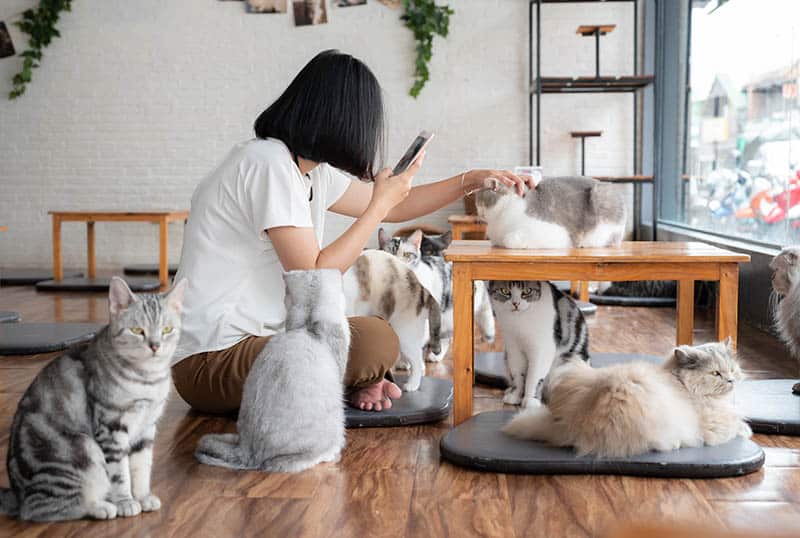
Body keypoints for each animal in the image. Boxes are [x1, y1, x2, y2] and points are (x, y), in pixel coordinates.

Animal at [0, 276, 186, 520]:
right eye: (137, 330)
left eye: (167, 329)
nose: (155, 345)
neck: (148, 379)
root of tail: (16, 495)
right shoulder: (112, 427)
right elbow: (120, 473)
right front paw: (126, 501)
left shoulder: (146, 428)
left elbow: (142, 467)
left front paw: (143, 496)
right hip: (82, 449)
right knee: (40, 509)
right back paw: (101, 507)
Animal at [504, 340, 752, 456]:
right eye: (716, 373)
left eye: (732, 369)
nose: (731, 380)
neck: (681, 384)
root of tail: (573, 423)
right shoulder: (715, 426)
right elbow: (737, 425)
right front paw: (747, 430)